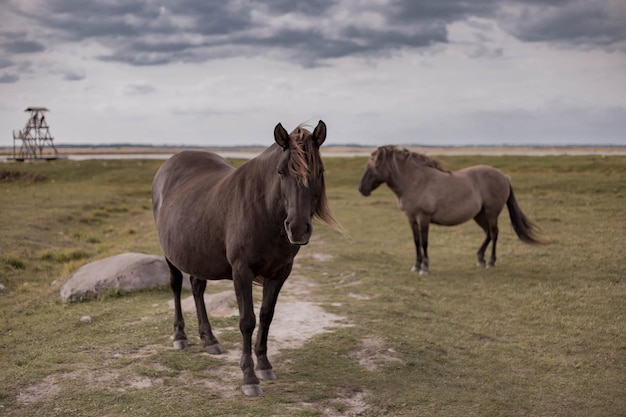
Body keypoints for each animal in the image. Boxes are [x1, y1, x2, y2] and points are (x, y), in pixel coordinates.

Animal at [152, 119, 336, 394]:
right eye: (281, 172)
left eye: (320, 171)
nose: (298, 228)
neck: (264, 210)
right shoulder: (241, 271)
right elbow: (247, 320)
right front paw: (249, 376)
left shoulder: (280, 272)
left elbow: (266, 316)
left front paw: (264, 364)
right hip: (170, 255)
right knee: (176, 287)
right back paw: (180, 336)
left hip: (197, 254)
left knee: (197, 288)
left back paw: (209, 339)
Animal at [358, 145, 540, 274]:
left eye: (374, 166)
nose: (361, 189)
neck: (415, 181)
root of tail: (503, 176)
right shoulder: (411, 218)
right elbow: (416, 241)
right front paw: (416, 266)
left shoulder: (423, 218)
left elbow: (424, 242)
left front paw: (425, 268)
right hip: (479, 215)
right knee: (488, 233)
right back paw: (480, 259)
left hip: (491, 213)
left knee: (494, 233)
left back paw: (491, 262)